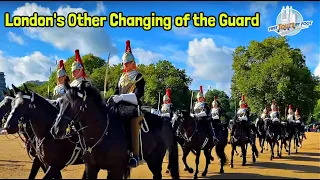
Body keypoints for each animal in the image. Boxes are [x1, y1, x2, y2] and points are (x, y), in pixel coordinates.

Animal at [50, 81, 180, 179]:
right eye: (60, 102)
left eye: (76, 104)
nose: (56, 130)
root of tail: (164, 119)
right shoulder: (91, 167)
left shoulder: (115, 169)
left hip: (155, 159)